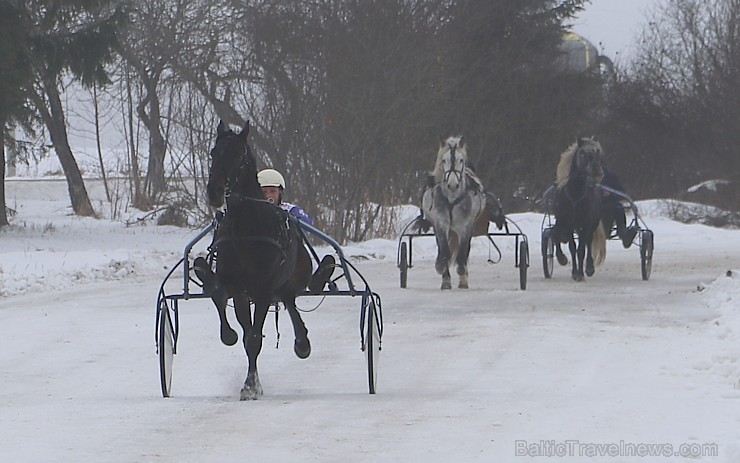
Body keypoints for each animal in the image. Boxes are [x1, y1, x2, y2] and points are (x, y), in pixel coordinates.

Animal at [202, 121, 312, 400]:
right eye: (213, 152)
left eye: (238, 155)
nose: (214, 192)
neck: (246, 229)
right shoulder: (238, 289)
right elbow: (219, 294)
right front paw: (228, 334)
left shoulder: (263, 289)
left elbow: (254, 339)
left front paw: (250, 386)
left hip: (293, 278)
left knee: (290, 299)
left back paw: (302, 343)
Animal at [422, 136, 486, 290]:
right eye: (443, 160)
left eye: (460, 159)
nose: (452, 185)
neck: (451, 199)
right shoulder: (441, 224)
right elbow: (445, 251)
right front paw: (443, 273)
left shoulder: (465, 226)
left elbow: (462, 252)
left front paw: (462, 275)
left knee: (465, 250)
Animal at [548, 137, 608, 282]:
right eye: (583, 153)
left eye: (599, 153)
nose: (598, 172)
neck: (575, 196)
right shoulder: (567, 224)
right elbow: (572, 247)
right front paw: (570, 268)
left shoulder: (584, 225)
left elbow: (581, 249)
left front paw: (580, 273)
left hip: (592, 224)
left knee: (588, 242)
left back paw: (589, 268)